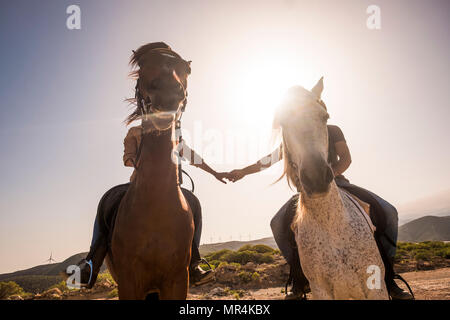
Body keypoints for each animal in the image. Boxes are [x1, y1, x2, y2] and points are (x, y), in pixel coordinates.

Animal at [274, 79, 390, 298]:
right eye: (283, 123)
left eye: (324, 117)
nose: (316, 177)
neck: (330, 225)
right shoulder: (321, 290)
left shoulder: (375, 287)